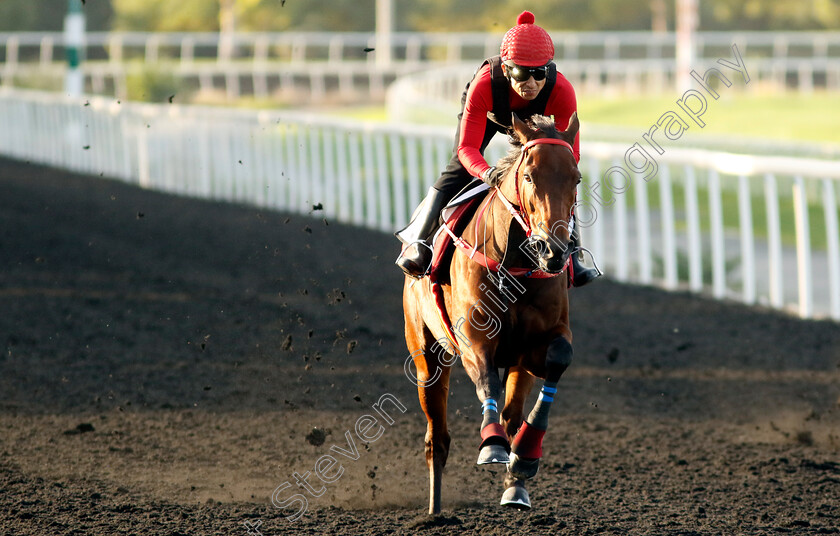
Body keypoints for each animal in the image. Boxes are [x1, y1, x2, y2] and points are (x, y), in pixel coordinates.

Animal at [404, 111, 580, 512]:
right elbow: (487, 378)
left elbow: (559, 358)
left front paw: (525, 456)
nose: (554, 250)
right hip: (426, 357)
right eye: (529, 176)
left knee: (512, 414)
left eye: (576, 178)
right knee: (437, 437)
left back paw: (516, 485)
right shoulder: (473, 339)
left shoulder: (537, 345)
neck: (514, 261)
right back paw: (435, 511)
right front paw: (492, 444)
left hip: (517, 362)